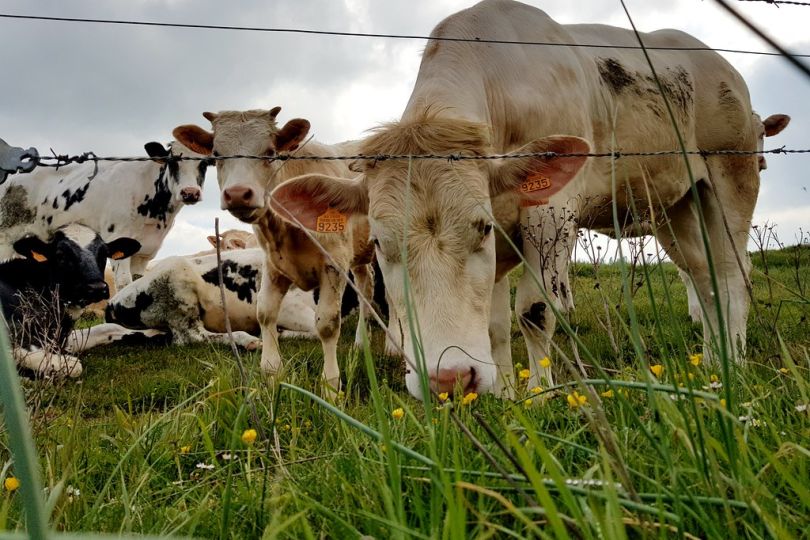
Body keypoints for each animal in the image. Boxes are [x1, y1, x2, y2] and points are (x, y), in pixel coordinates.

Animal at [0, 141, 208, 290]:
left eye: (205, 163)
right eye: (172, 161)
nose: (190, 192)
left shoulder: (145, 252)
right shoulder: (117, 237)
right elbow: (124, 283)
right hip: (5, 237)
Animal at [0, 224, 140, 377]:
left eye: (104, 255)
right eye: (60, 255)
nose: (97, 287)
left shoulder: (61, 337)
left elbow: (108, 327)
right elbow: (73, 366)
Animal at [173, 108, 375, 393]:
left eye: (270, 152)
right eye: (216, 155)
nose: (238, 194)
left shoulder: (334, 263)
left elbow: (327, 324)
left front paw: (331, 386)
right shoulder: (273, 264)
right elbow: (265, 313)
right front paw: (271, 374)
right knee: (366, 285)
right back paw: (361, 343)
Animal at [268, 0, 771, 398]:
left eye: (481, 228)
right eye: (378, 243)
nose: (448, 379)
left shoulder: (551, 214)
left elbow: (533, 311)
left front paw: (539, 394)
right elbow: (494, 325)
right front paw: (505, 392)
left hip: (731, 176)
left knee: (733, 273)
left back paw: (736, 358)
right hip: (673, 203)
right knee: (703, 277)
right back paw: (713, 361)